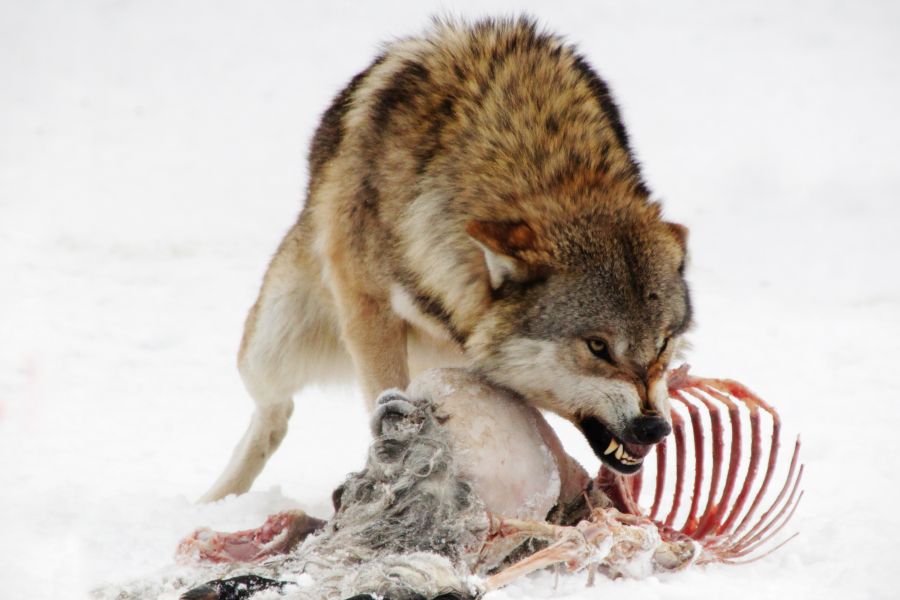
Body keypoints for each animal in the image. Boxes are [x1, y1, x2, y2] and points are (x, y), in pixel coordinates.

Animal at [204, 16, 692, 502]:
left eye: (663, 343)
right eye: (597, 346)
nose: (653, 428)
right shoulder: (368, 311)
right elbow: (385, 389)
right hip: (273, 344)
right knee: (273, 414)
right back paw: (214, 500)